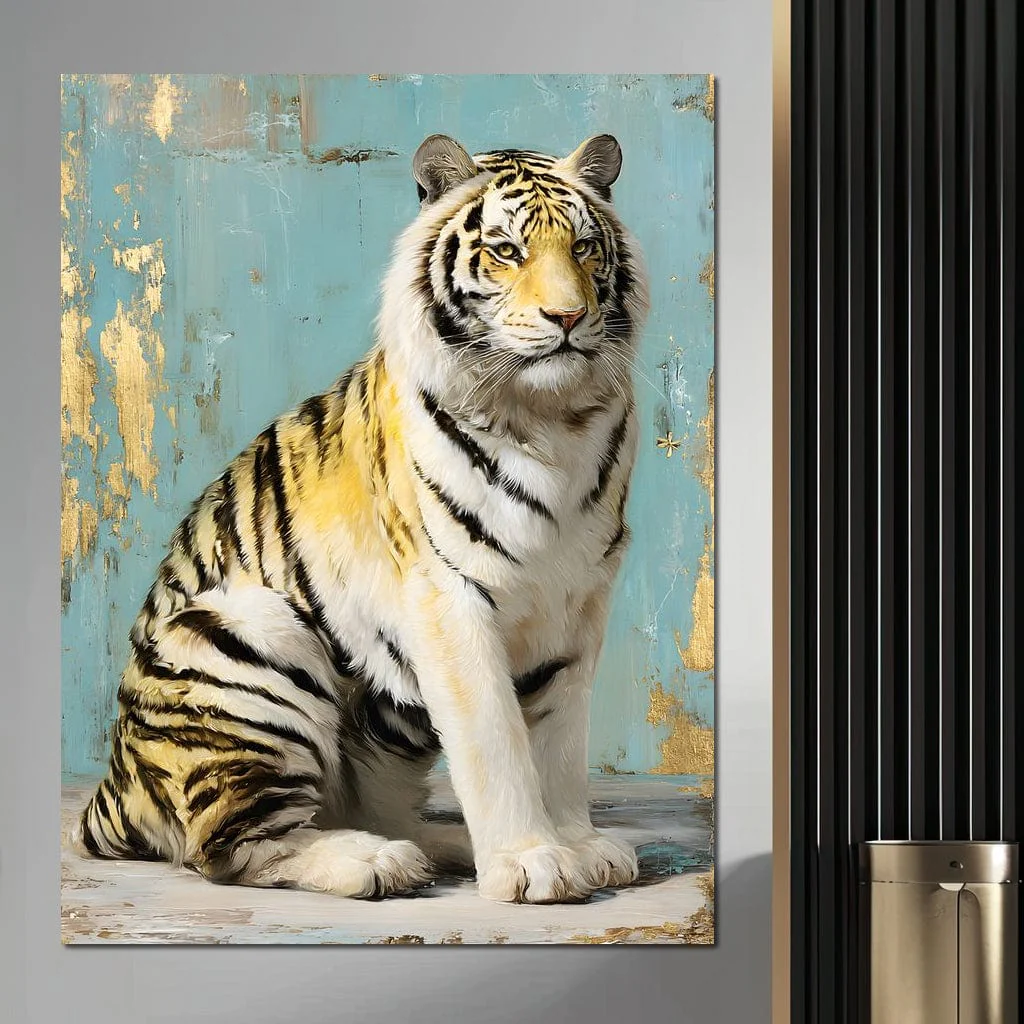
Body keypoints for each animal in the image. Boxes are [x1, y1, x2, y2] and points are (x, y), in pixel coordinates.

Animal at [76, 132, 650, 904]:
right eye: (506, 251)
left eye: (585, 248)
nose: (566, 318)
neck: (551, 417)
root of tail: (110, 787)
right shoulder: (448, 595)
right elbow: (495, 741)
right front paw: (532, 861)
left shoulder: (577, 600)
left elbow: (558, 743)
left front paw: (579, 846)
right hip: (251, 634)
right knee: (230, 846)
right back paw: (376, 862)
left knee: (365, 807)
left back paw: (432, 846)